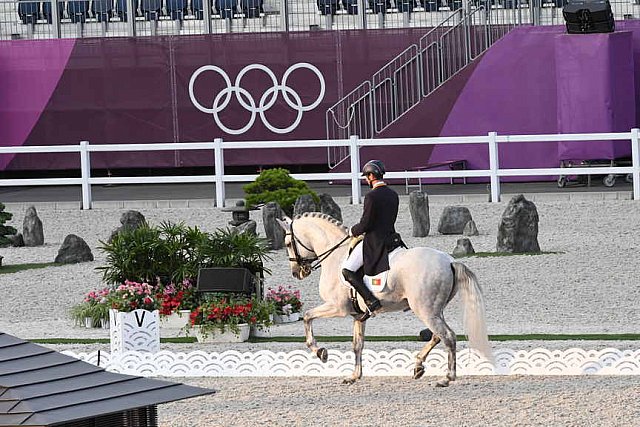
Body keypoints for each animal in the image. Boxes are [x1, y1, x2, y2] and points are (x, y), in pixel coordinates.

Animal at [278, 213, 492, 388]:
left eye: (288, 244)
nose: (297, 272)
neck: (337, 256)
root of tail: (449, 261)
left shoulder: (337, 307)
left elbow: (307, 316)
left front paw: (320, 352)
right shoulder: (357, 316)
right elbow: (357, 345)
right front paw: (354, 376)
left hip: (425, 310)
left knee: (448, 336)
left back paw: (446, 378)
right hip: (434, 310)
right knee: (437, 336)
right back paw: (418, 366)